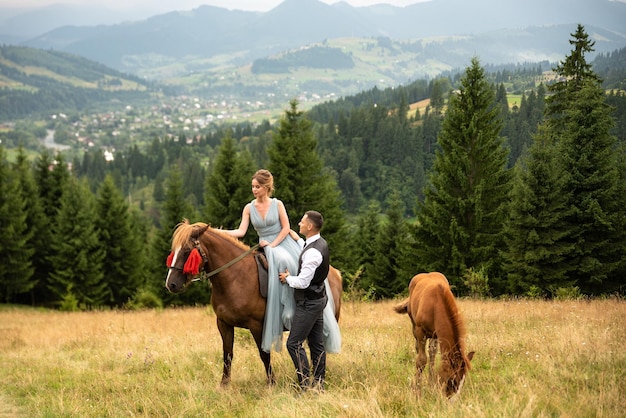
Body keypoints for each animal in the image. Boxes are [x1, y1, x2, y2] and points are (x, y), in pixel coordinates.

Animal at [163, 220, 342, 384]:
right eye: (173, 251)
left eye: (187, 251)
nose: (171, 284)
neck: (236, 278)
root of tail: (335, 273)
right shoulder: (223, 324)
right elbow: (227, 355)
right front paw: (224, 385)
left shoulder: (257, 325)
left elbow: (264, 354)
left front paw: (271, 383)